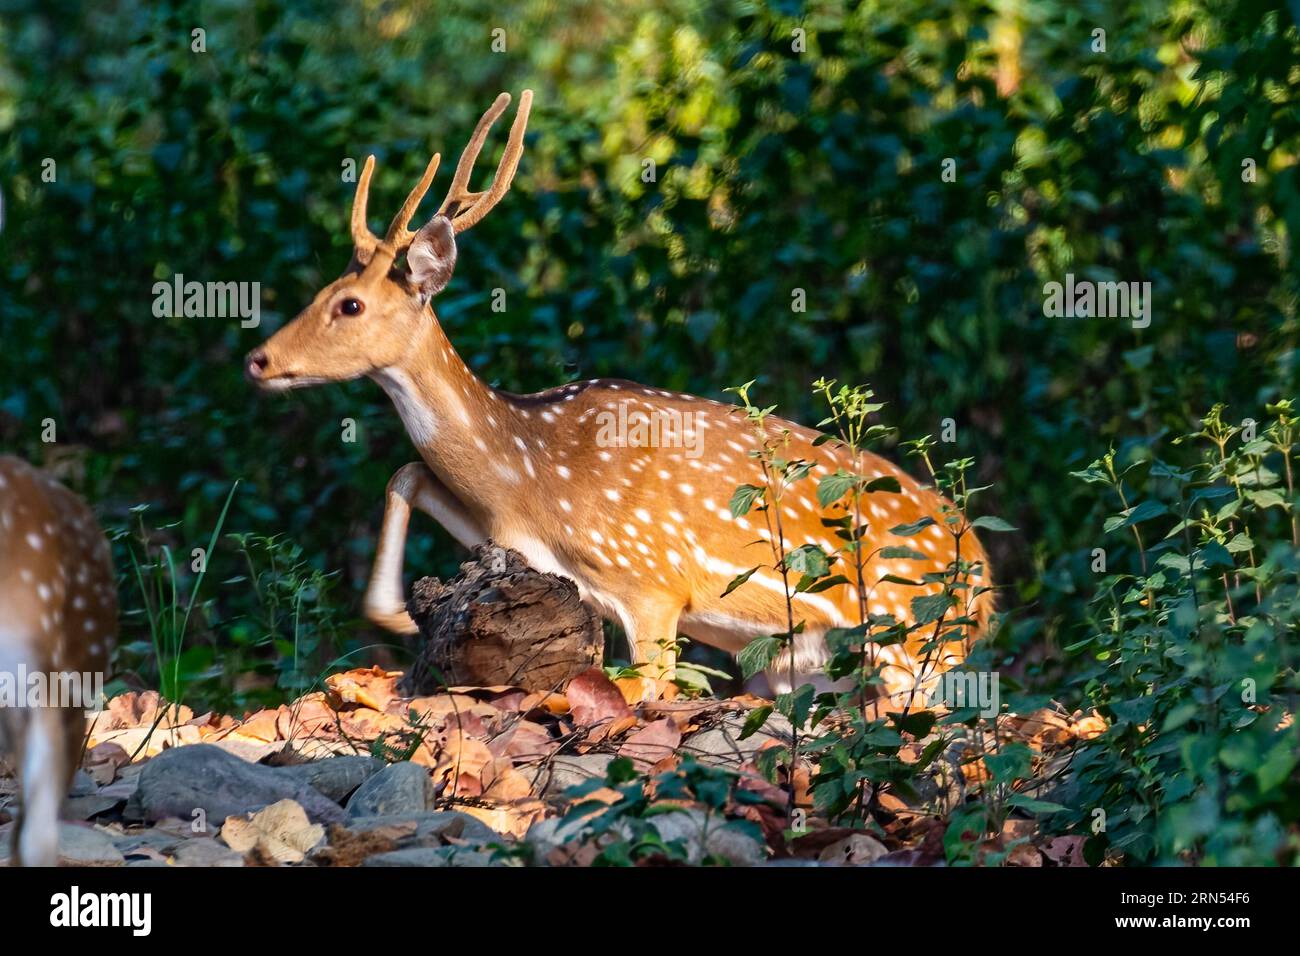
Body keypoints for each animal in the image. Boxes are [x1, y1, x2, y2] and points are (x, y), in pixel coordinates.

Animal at [245, 89, 993, 702]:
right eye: (322, 290)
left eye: (348, 304)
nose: (258, 360)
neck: (531, 474)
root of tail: (986, 585)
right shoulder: (517, 540)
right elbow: (407, 472)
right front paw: (397, 613)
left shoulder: (655, 582)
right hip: (805, 665)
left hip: (914, 642)